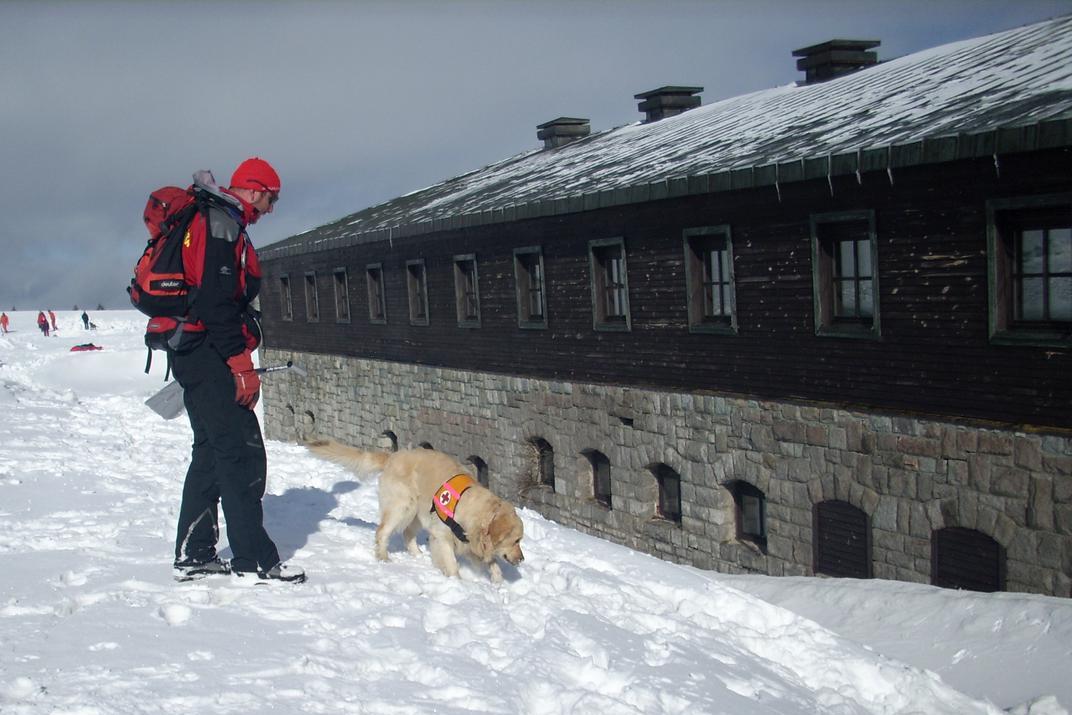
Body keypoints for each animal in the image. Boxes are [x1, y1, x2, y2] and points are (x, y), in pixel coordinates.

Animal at [308, 441, 525, 582]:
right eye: (516, 540)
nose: (522, 559)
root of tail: (393, 456)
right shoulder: (442, 535)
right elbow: (452, 563)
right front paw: (457, 583)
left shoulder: (468, 542)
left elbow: (492, 561)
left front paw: (497, 581)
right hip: (403, 506)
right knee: (382, 531)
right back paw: (383, 558)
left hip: (418, 513)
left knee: (407, 533)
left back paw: (418, 556)